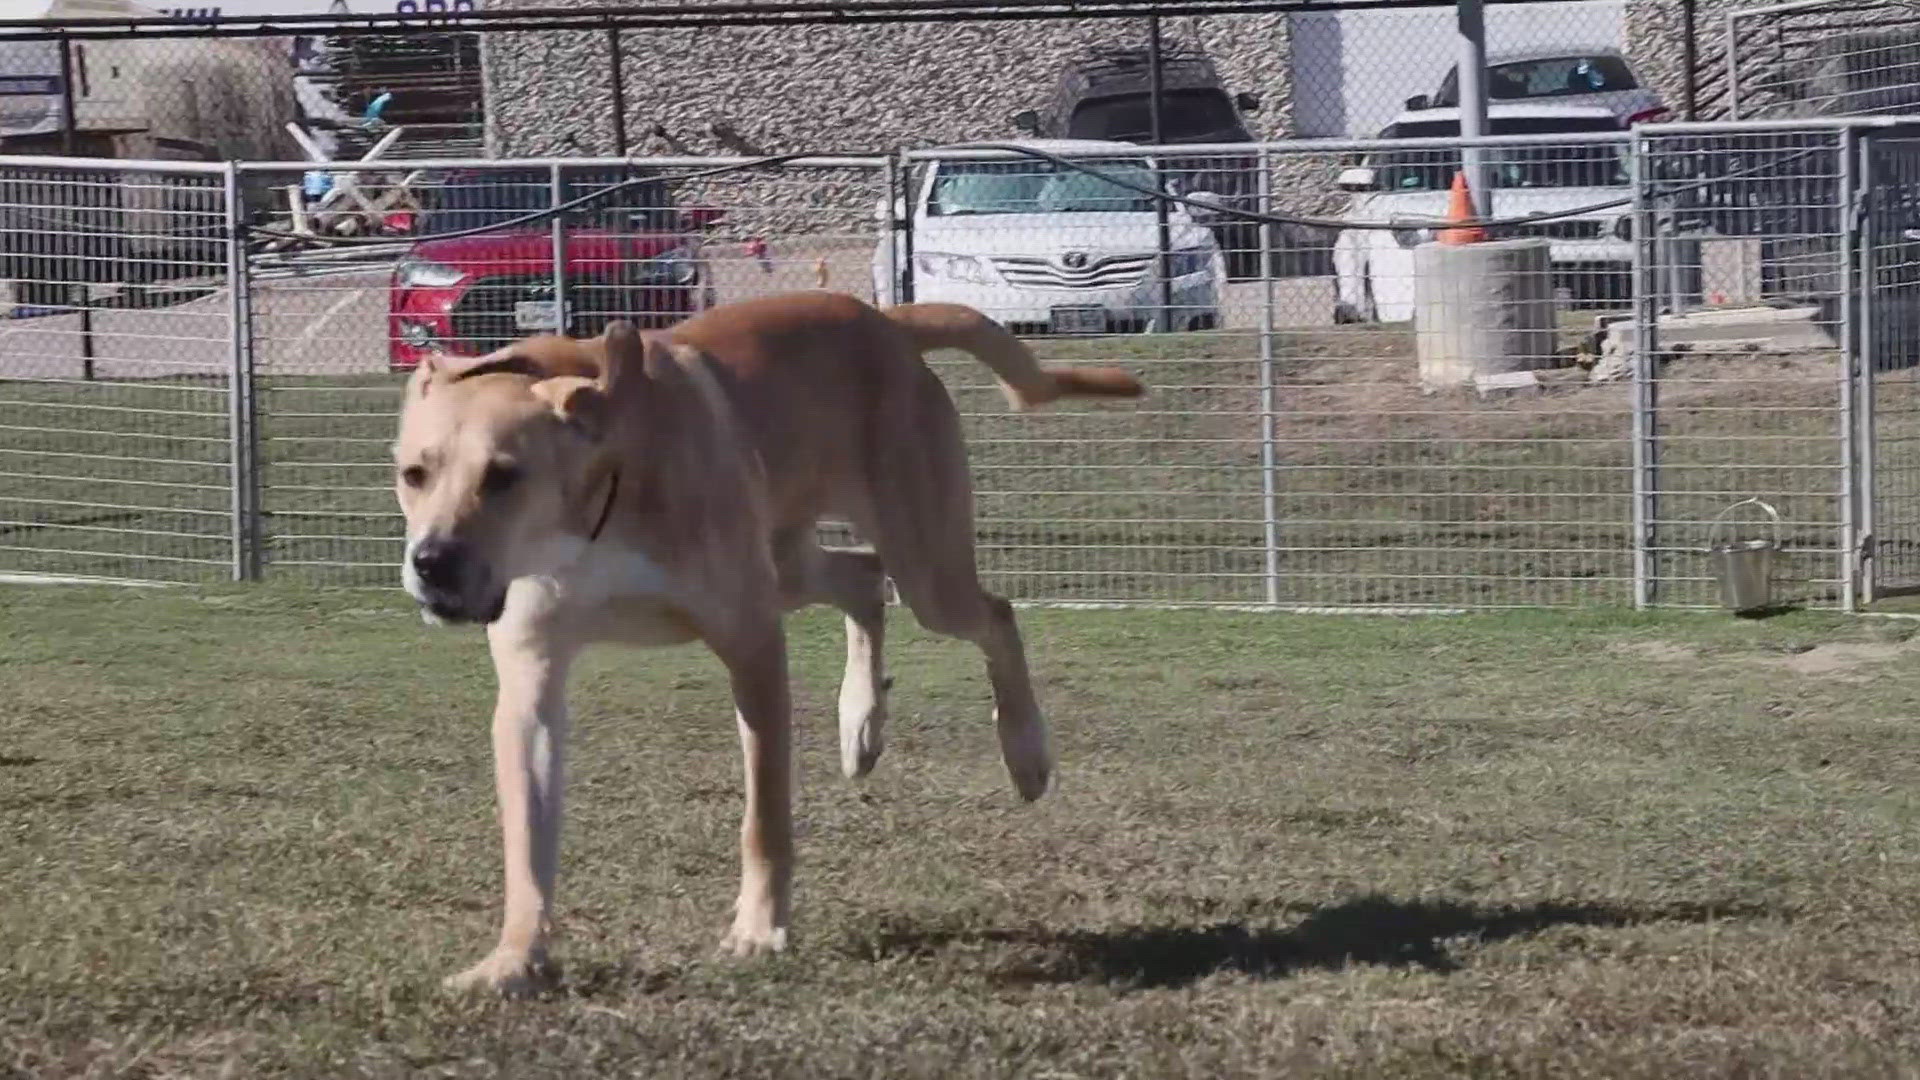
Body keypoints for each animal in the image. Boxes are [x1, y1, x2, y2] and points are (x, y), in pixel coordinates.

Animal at [389, 288, 1136, 991]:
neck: (602, 488)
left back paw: (1025, 751)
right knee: (864, 578)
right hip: (793, 564)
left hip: (924, 566)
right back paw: (860, 720)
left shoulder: (752, 647)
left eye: (505, 476)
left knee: (990, 612)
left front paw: (758, 928)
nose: (432, 564)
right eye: (413, 474)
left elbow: (764, 818)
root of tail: (885, 322)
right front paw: (514, 959)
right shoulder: (531, 679)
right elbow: (527, 839)